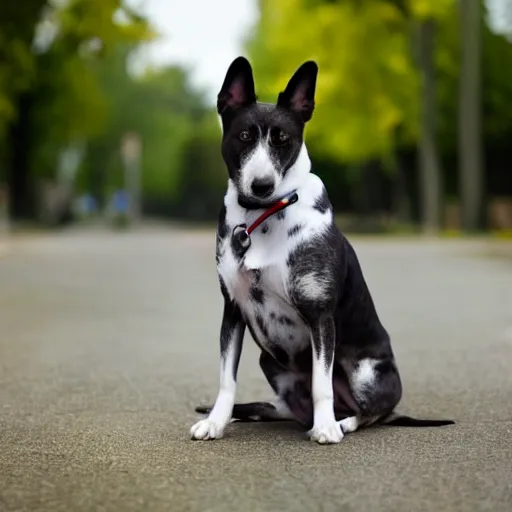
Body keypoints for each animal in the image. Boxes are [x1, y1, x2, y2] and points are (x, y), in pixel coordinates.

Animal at [190, 57, 454, 444]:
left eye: (283, 139)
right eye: (244, 136)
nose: (262, 184)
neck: (264, 214)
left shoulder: (320, 317)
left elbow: (321, 383)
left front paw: (326, 426)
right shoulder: (233, 310)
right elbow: (227, 379)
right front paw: (216, 421)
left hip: (367, 374)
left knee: (373, 413)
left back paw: (341, 422)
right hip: (270, 362)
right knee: (280, 407)